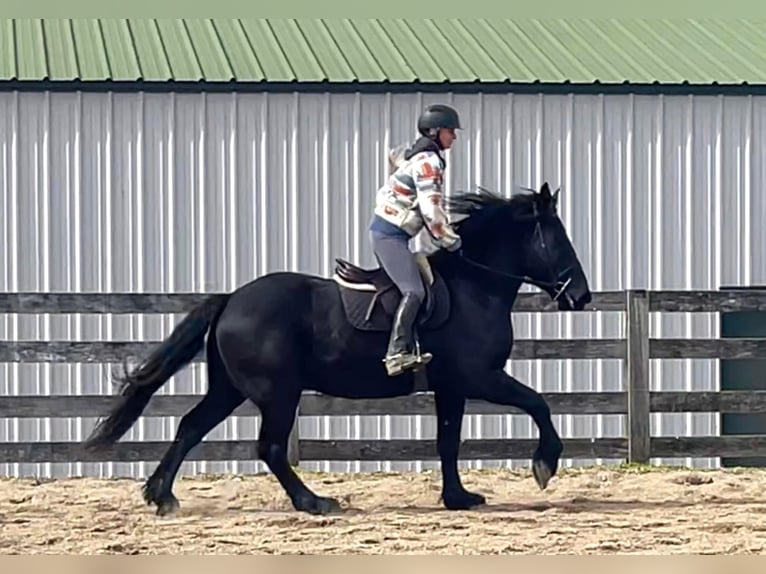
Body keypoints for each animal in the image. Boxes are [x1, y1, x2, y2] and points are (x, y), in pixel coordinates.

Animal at [82, 183, 592, 516]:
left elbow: (448, 441)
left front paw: (458, 498)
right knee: (269, 447)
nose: (581, 296)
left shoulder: (452, 387)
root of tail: (232, 299)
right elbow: (538, 404)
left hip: (231, 389)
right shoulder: (480, 377)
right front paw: (545, 464)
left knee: (190, 427)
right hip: (278, 393)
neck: (475, 286)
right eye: (557, 238)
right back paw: (313, 502)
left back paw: (162, 495)